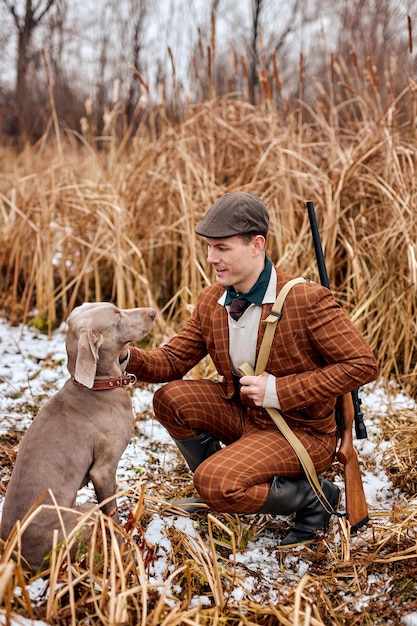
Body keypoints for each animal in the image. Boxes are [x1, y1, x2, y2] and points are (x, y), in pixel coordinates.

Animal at [0, 302, 154, 572]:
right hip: (86, 513)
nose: (154, 312)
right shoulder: (103, 470)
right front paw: (122, 544)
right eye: (117, 316)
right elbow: (113, 513)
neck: (95, 387)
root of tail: (16, 558)